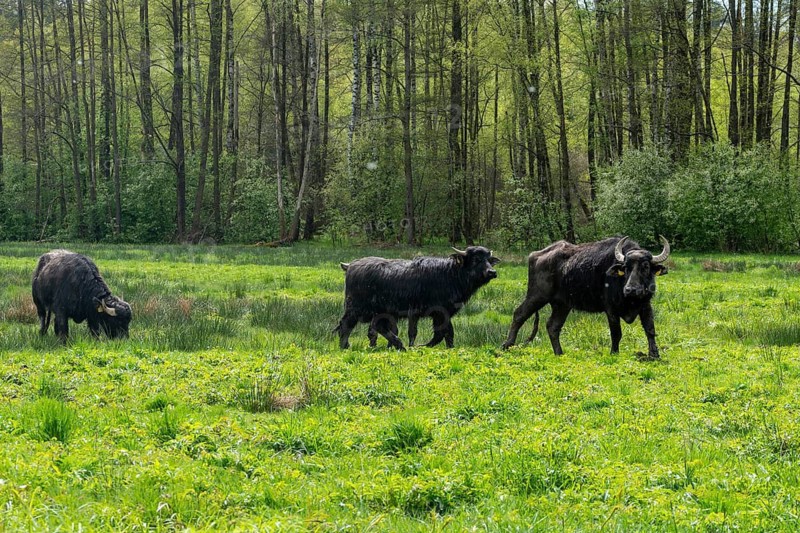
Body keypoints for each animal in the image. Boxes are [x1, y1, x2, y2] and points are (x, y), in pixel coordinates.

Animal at [336, 246, 501, 350]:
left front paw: (448, 347)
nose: (492, 272)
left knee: (377, 327)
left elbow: (445, 333)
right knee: (346, 325)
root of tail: (351, 266)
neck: (450, 275)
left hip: (380, 311)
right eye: (476, 259)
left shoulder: (439, 314)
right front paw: (419, 346)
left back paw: (398, 345)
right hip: (355, 308)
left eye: (489, 259)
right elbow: (437, 332)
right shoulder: (434, 312)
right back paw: (345, 346)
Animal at [502, 236, 670, 359]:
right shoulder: (611, 309)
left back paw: (559, 353)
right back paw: (507, 345)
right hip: (537, 295)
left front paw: (654, 354)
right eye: (626, 268)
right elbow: (616, 333)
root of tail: (535, 255)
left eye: (645, 266)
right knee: (519, 314)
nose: (631, 289)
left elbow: (650, 329)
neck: (631, 299)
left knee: (552, 326)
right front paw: (614, 353)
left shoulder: (646, 305)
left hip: (562, 304)